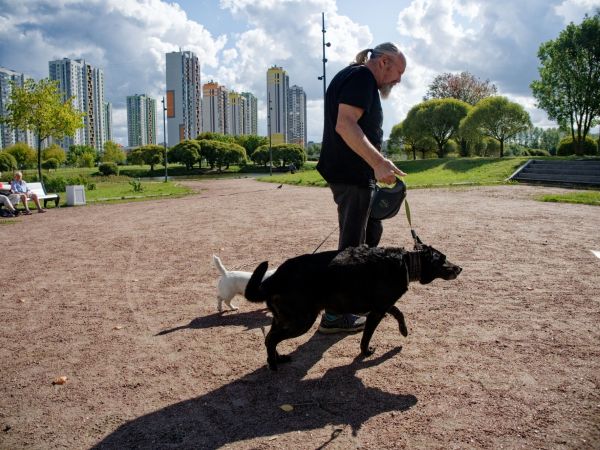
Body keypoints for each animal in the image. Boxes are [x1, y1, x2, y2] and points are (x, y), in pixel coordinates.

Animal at [246, 244, 462, 370]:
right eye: (443, 259)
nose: (460, 268)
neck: (406, 263)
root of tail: (272, 279)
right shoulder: (376, 311)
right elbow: (366, 336)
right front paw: (366, 353)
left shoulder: (382, 305)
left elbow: (399, 313)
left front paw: (404, 330)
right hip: (301, 320)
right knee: (271, 339)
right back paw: (273, 364)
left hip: (283, 319)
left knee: (269, 337)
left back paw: (278, 358)